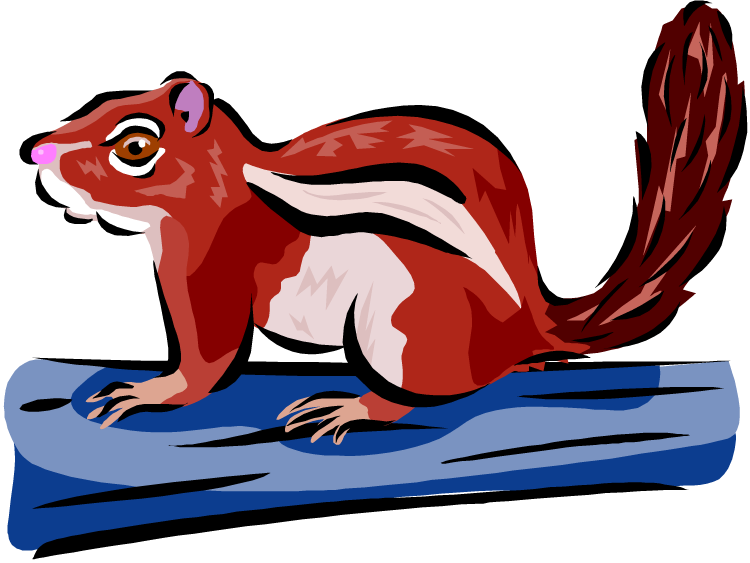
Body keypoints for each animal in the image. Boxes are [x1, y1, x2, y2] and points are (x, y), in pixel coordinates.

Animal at [30, 6, 742, 444]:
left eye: (135, 146)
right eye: (99, 102)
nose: (37, 153)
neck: (222, 193)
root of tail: (526, 323)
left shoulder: (211, 275)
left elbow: (206, 359)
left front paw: (153, 391)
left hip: (400, 326)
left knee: (430, 393)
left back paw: (354, 405)